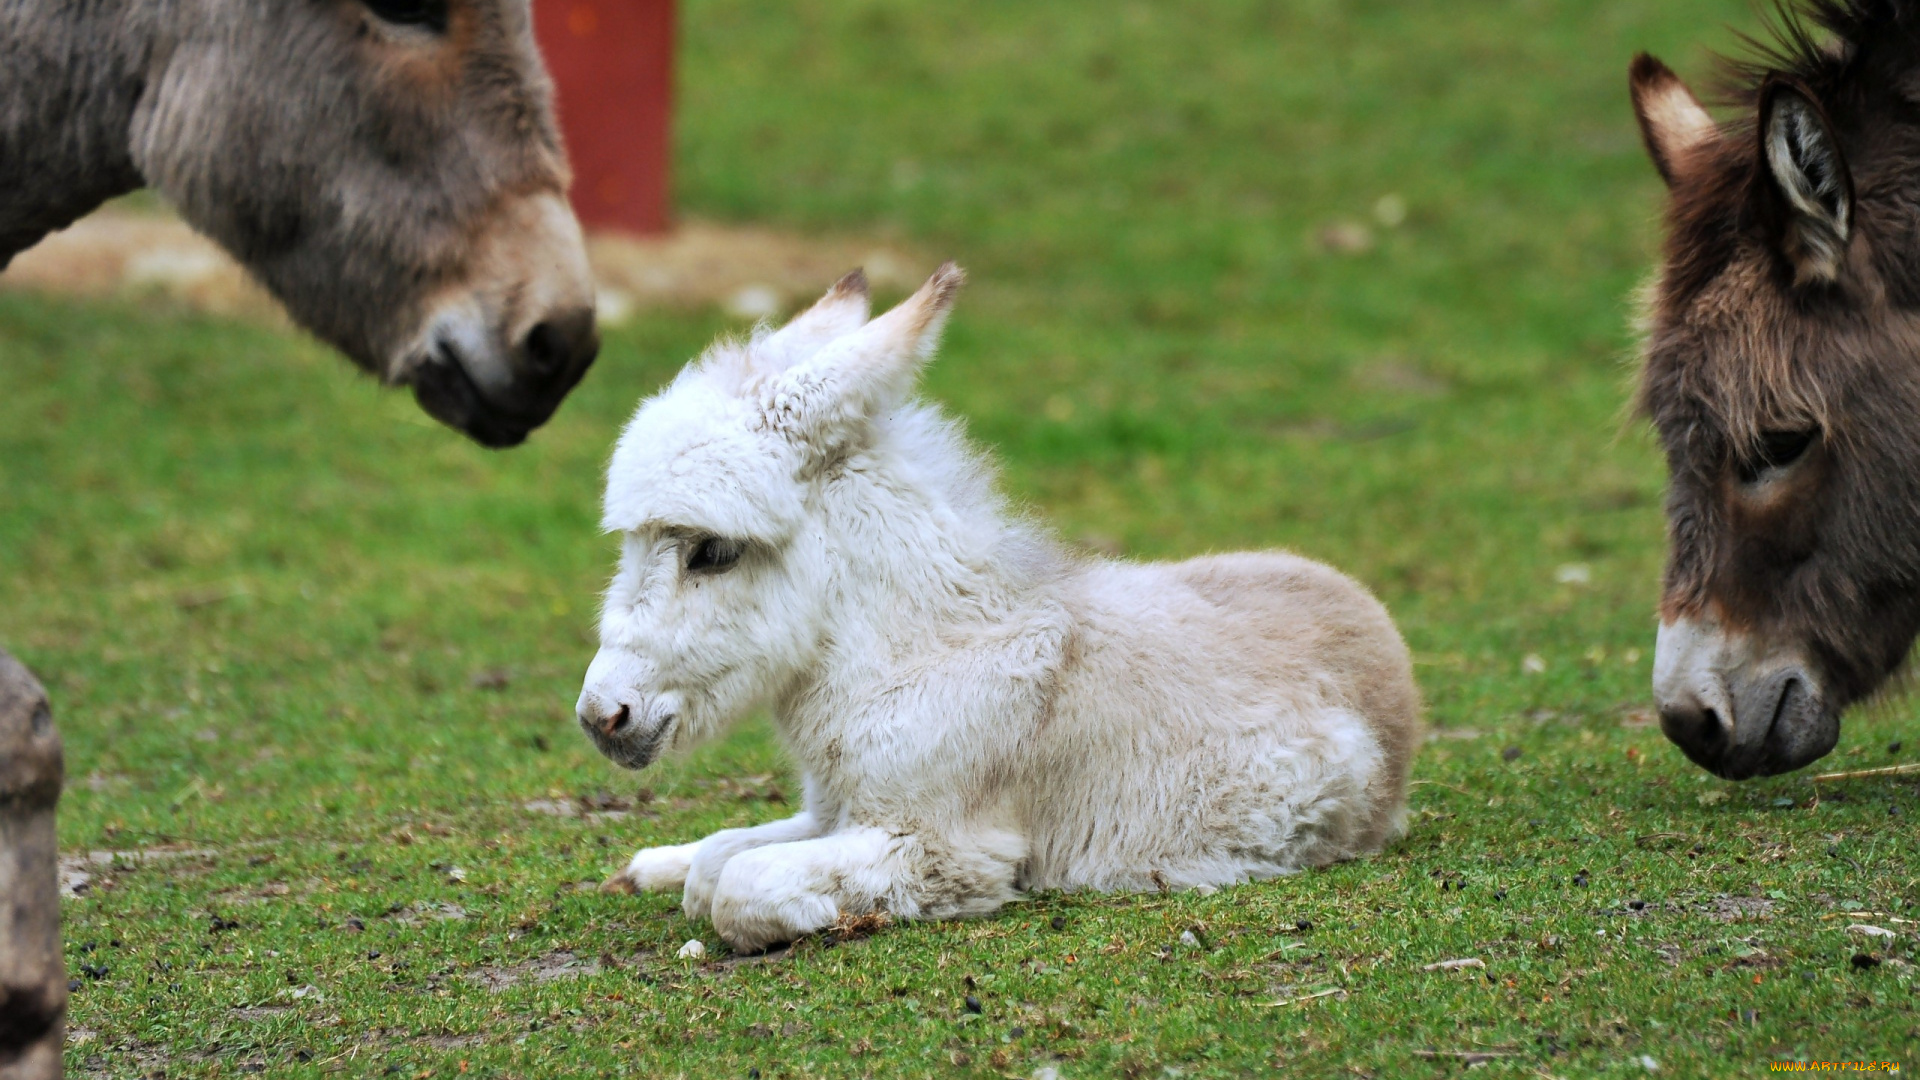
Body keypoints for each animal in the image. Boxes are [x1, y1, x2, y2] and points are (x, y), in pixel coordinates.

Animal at [576, 265, 1420, 945]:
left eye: (712, 552)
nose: (600, 718)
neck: (919, 658)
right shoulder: (834, 811)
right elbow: (721, 854)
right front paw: (666, 865)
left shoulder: (937, 844)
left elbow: (734, 886)